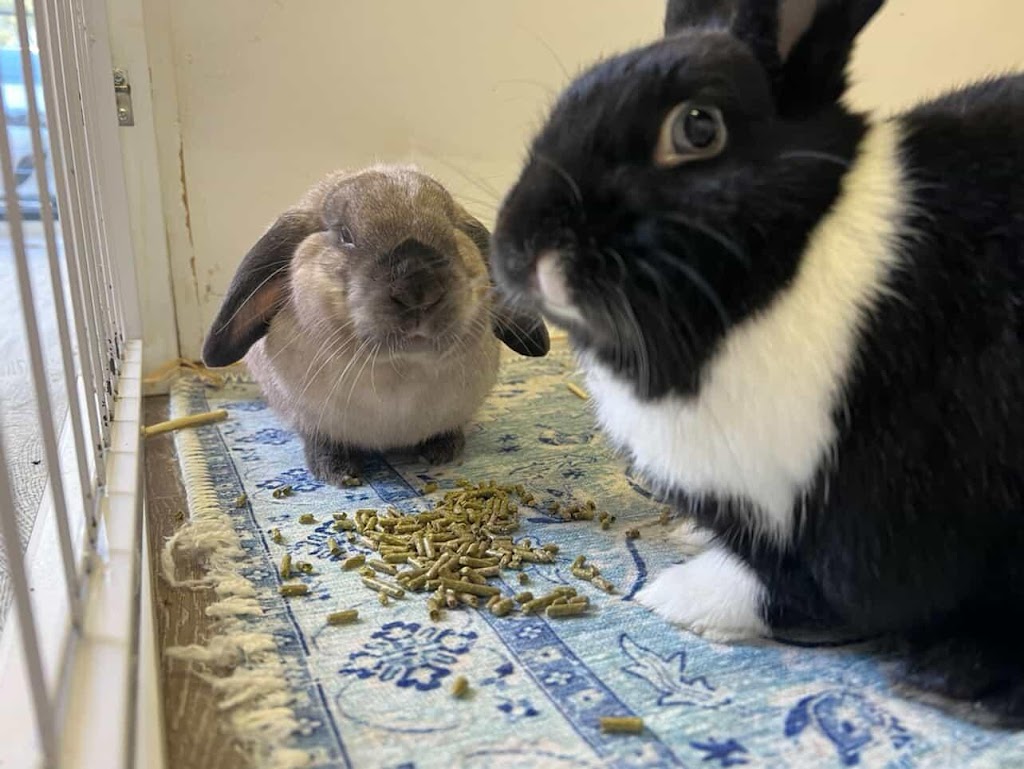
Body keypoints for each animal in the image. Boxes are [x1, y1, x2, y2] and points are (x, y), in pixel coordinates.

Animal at [203, 164, 549, 485]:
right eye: (345, 235)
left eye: (451, 227)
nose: (418, 290)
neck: (399, 372)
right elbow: (320, 438)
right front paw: (338, 473)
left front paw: (443, 450)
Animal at [489, 0, 1024, 722]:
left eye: (697, 128)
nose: (520, 248)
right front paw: (690, 539)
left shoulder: (873, 512)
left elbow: (807, 592)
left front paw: (676, 596)